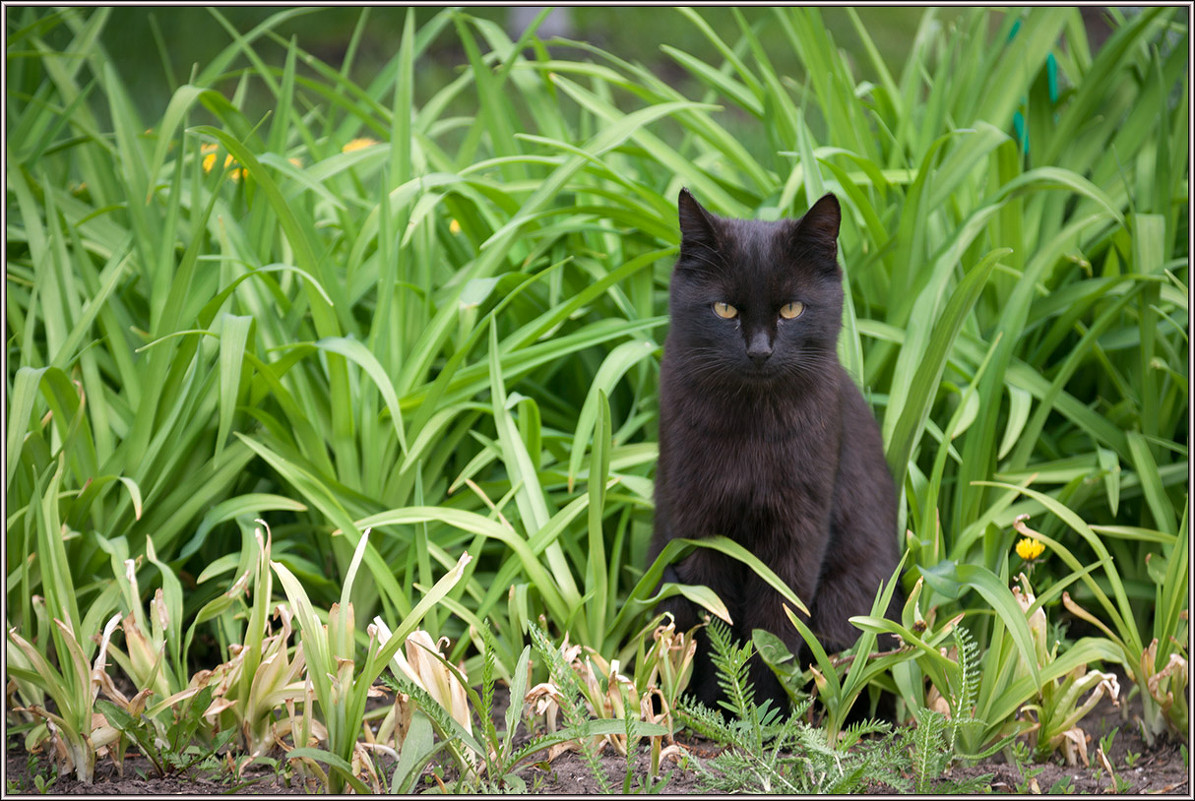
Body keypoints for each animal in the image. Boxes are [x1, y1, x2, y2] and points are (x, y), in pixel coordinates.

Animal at [654, 190, 898, 717]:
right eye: (724, 309)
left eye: (791, 308)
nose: (760, 351)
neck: (752, 428)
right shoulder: (700, 529)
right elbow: (715, 624)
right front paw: (720, 708)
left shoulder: (796, 533)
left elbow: (777, 625)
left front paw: (765, 712)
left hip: (853, 603)